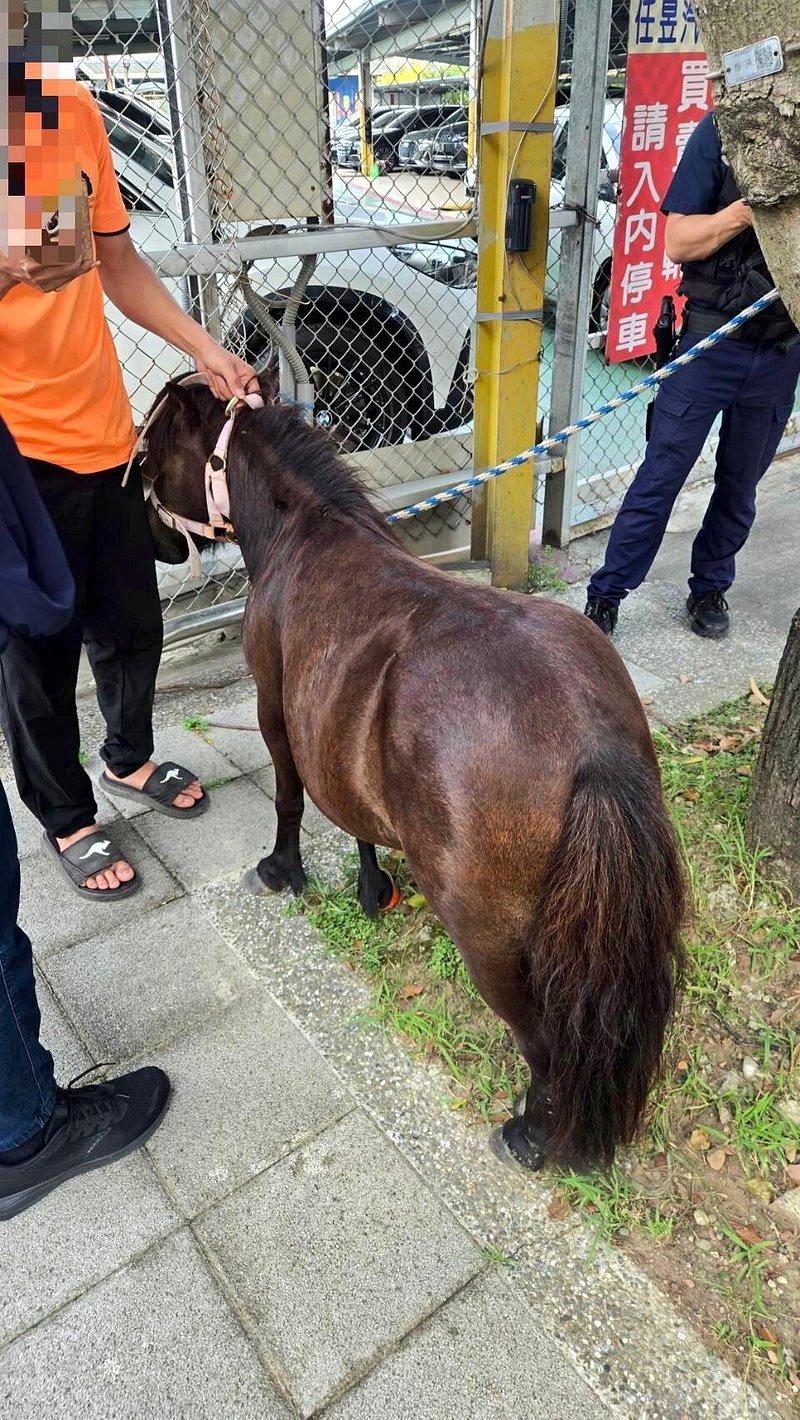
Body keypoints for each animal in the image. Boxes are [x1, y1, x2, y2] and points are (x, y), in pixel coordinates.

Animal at [142, 372, 686, 1173]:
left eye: (149, 447)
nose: (150, 534)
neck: (309, 529)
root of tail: (589, 739)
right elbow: (353, 814)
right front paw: (374, 890)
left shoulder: (274, 708)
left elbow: (289, 797)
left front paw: (282, 871)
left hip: (493, 942)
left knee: (544, 1044)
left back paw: (530, 1134)